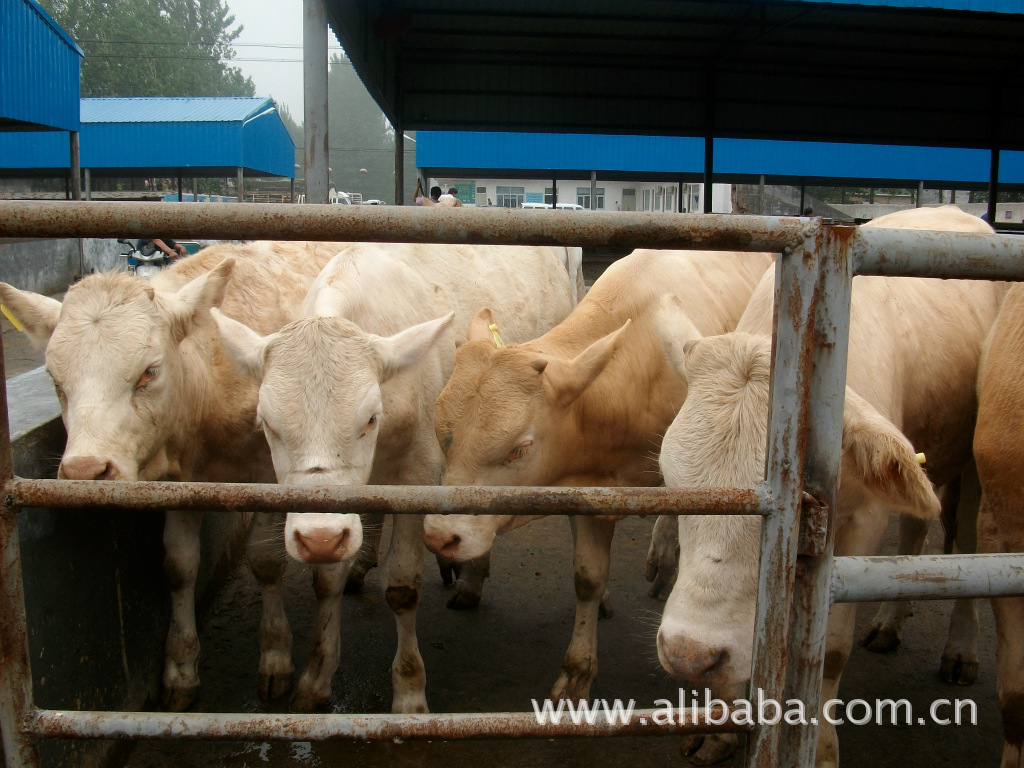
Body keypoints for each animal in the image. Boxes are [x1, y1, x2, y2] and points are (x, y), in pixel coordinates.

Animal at [0, 241, 348, 716]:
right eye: (55, 378)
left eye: (149, 371)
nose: (86, 472)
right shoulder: (184, 484)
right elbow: (179, 566)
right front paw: (180, 670)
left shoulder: (272, 475)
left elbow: (264, 560)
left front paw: (275, 657)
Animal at [209, 241, 577, 716]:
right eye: (267, 424)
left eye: (370, 418)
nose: (319, 538)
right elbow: (323, 578)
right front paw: (315, 676)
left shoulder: (420, 471)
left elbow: (402, 586)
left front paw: (409, 692)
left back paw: (470, 581)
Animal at [421, 249, 770, 708]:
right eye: (443, 435)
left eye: (519, 448)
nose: (440, 537)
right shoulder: (582, 490)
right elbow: (587, 578)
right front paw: (579, 664)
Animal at [651, 205, 1003, 768]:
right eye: (671, 482)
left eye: (798, 502)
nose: (688, 654)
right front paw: (722, 729)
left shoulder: (858, 522)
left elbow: (831, 649)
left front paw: (821, 748)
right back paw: (890, 621)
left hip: (972, 462)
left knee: (966, 544)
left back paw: (961, 648)